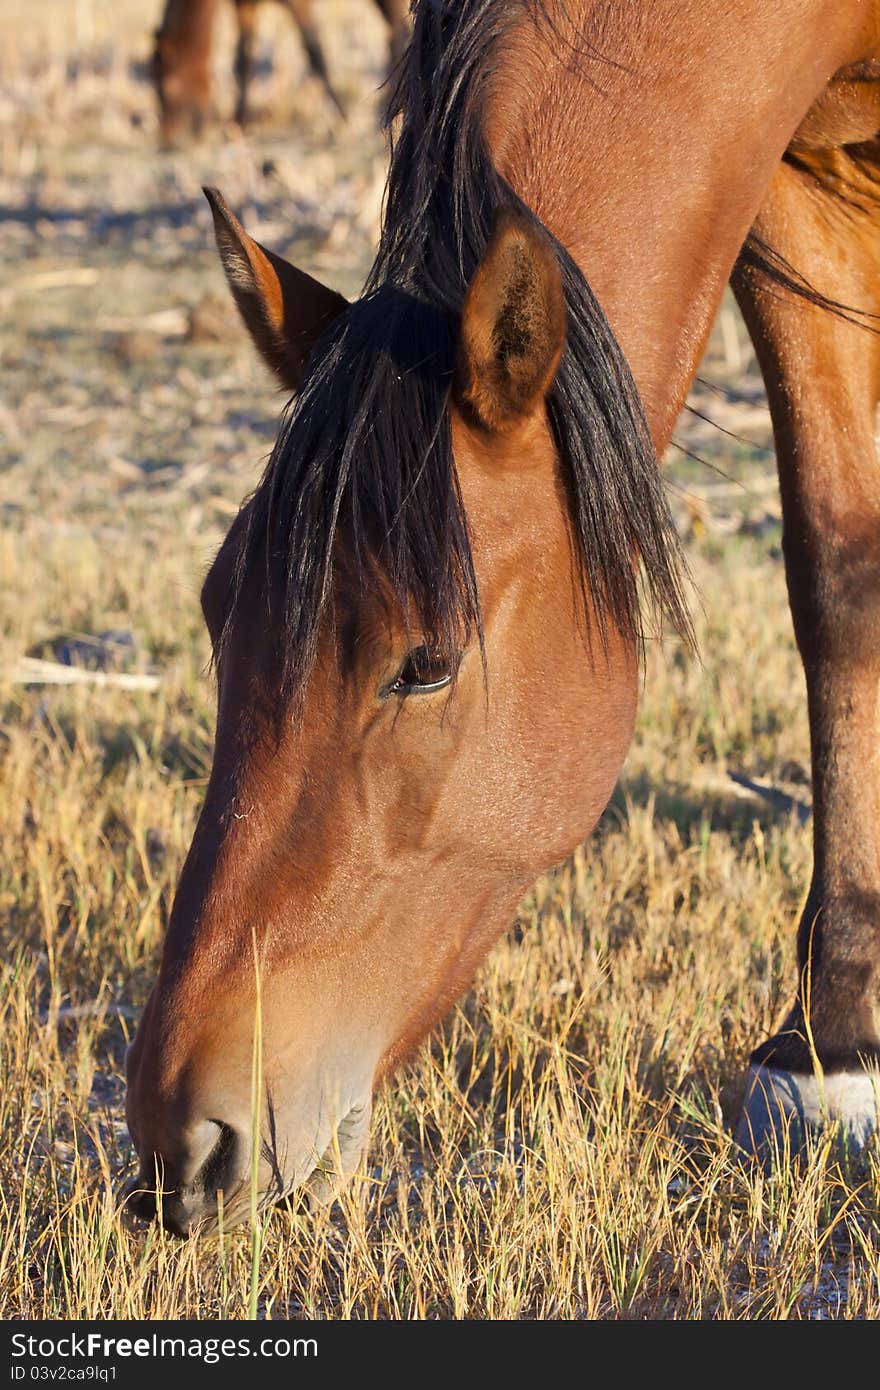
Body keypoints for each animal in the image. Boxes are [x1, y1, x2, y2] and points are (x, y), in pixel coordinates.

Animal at [152, 0, 411, 141]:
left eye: (167, 86)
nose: (168, 141)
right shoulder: (245, 6)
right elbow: (243, 56)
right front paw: (239, 122)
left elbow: (313, 50)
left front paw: (342, 117)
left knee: (396, 29)